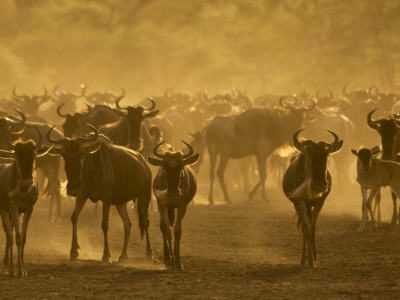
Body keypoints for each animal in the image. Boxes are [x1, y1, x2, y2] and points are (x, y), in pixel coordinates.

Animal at [148, 141, 199, 270]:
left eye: (181, 166)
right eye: (165, 166)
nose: (173, 194)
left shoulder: (182, 206)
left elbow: (177, 231)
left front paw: (178, 262)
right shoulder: (162, 204)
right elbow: (166, 229)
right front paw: (169, 259)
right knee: (163, 226)